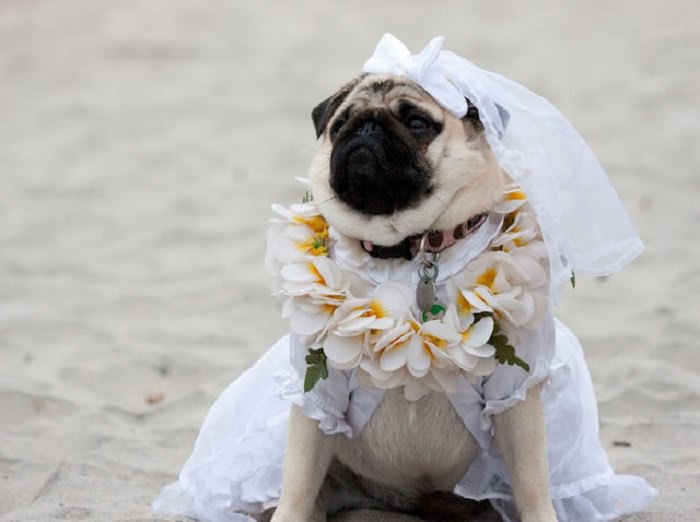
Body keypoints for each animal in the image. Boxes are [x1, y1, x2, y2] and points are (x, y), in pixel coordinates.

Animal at [268, 74, 556, 520]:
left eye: (417, 123)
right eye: (341, 123)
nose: (367, 125)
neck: (412, 250)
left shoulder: (515, 395)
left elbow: (531, 483)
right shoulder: (318, 398)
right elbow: (297, 485)